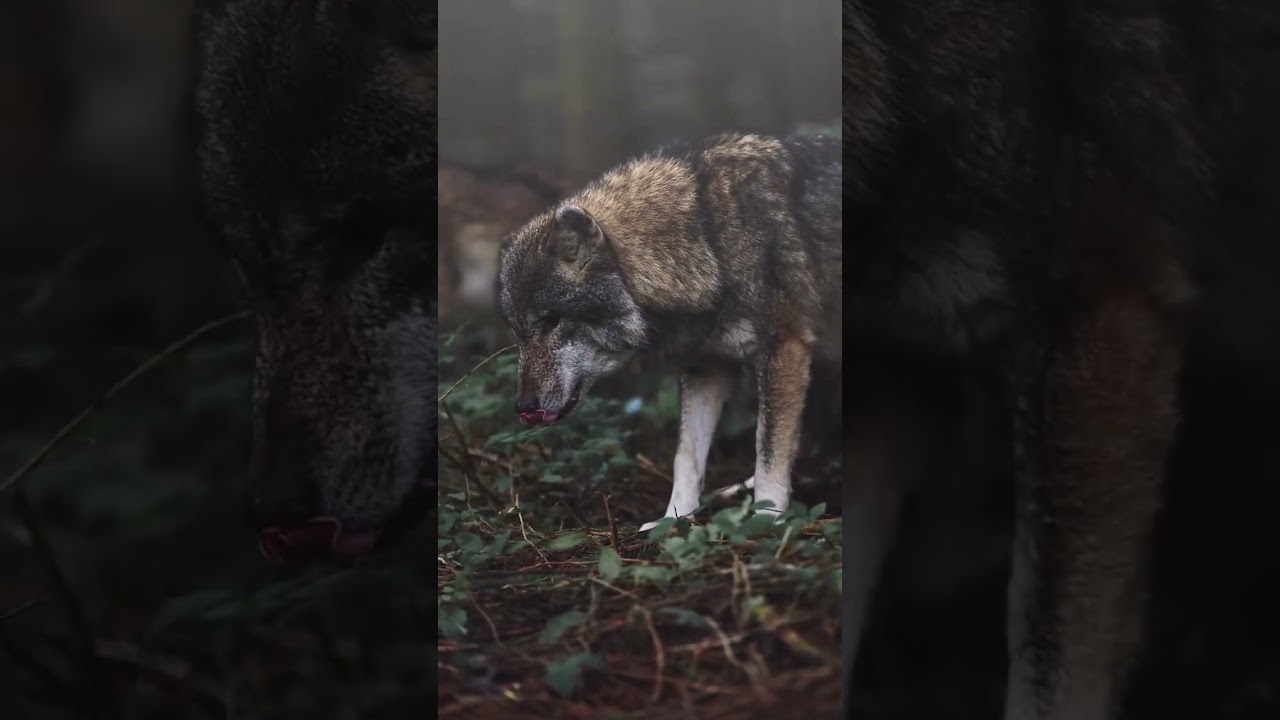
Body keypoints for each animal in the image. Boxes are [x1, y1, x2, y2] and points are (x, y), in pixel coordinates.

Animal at [497, 133, 841, 531]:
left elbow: (768, 449)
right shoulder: (707, 369)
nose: (523, 408)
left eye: (551, 321)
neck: (709, 237)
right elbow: (686, 456)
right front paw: (672, 520)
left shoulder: (784, 351)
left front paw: (766, 519)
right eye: (517, 333)